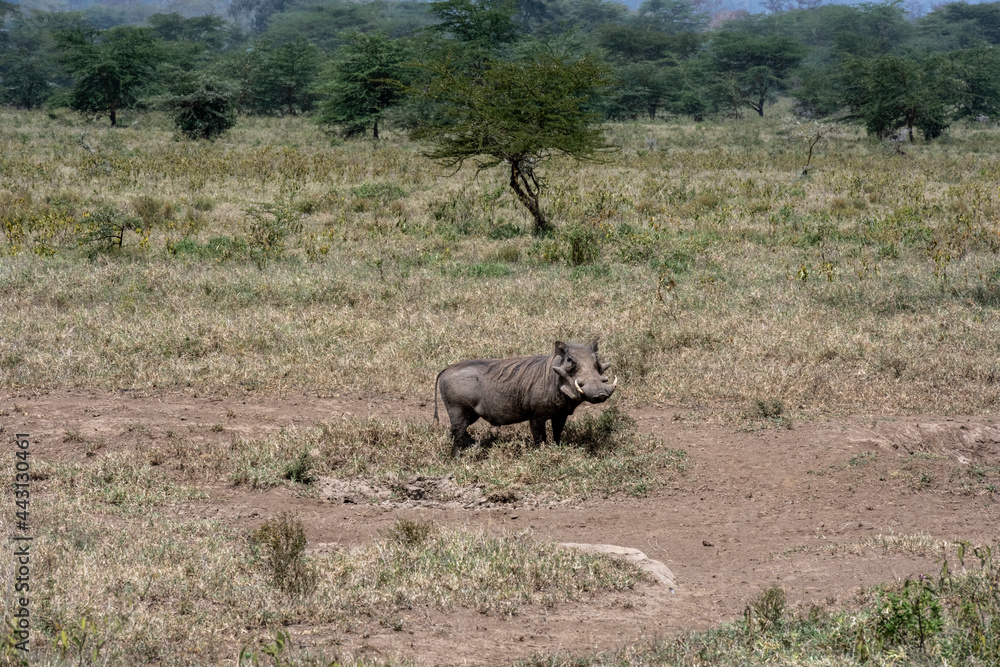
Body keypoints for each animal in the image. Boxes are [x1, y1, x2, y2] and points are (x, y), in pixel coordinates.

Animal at [434, 339, 618, 457]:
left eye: (597, 360)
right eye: (570, 360)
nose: (600, 394)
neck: (554, 379)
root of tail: (446, 369)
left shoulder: (560, 414)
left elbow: (557, 433)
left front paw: (557, 448)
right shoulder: (536, 415)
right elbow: (539, 437)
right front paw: (540, 454)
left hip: (471, 414)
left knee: (457, 431)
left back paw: (475, 445)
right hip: (458, 410)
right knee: (457, 433)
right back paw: (458, 458)